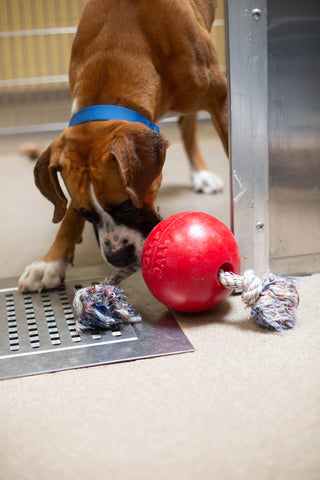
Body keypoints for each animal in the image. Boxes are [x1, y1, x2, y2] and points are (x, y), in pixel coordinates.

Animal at [18, 0, 228, 290]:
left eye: (127, 206)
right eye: (85, 213)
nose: (118, 257)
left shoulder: (221, 100)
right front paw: (52, 260)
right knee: (187, 121)